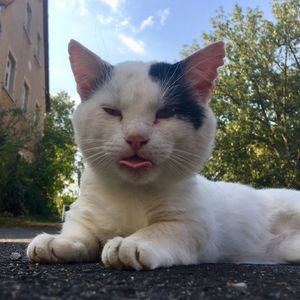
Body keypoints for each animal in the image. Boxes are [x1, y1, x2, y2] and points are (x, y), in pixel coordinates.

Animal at [26, 38, 300, 270]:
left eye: (167, 112)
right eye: (112, 111)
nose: (136, 137)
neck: (132, 193)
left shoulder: (196, 226)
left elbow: (162, 229)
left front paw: (133, 242)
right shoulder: (82, 214)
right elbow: (80, 232)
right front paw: (57, 241)